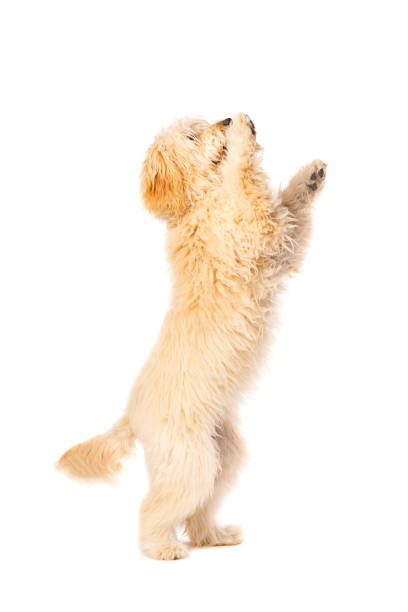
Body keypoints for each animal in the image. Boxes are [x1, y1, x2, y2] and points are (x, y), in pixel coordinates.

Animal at [57, 113, 326, 560]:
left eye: (200, 123)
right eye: (192, 135)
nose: (228, 118)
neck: (197, 204)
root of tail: (130, 414)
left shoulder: (281, 239)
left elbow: (290, 207)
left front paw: (309, 177)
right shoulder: (254, 231)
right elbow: (247, 181)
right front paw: (242, 137)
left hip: (223, 457)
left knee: (198, 509)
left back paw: (212, 536)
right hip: (190, 461)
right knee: (153, 507)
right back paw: (161, 548)